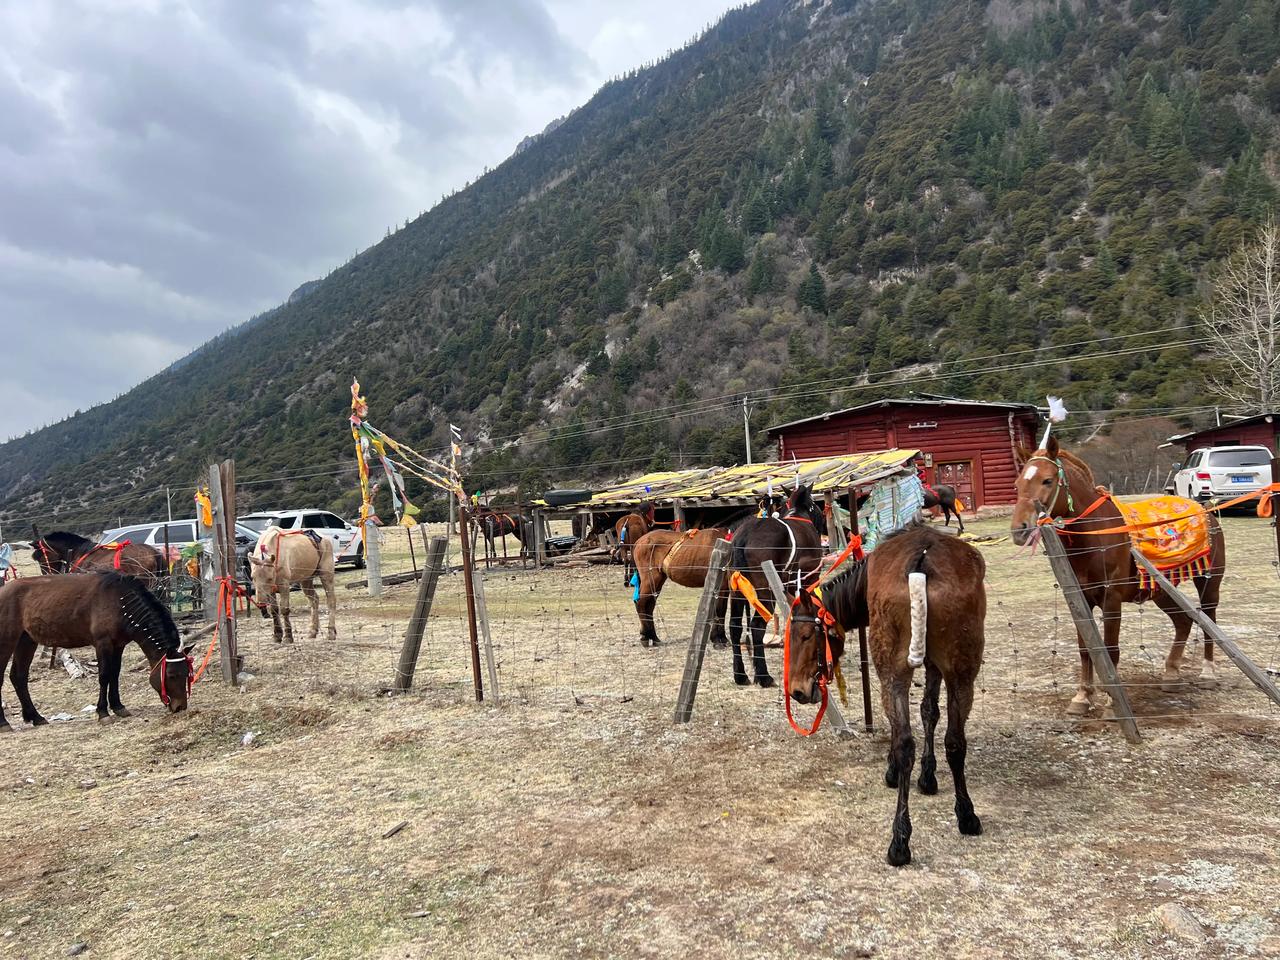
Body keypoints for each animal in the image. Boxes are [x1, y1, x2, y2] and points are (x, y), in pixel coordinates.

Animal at [0, 570, 190, 727]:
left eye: (187, 673)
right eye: (171, 675)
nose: (180, 706)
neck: (120, 602)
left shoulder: (118, 645)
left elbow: (115, 674)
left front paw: (118, 706)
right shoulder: (102, 644)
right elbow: (104, 676)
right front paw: (103, 712)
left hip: (26, 641)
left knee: (19, 677)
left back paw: (35, 717)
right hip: (7, 641)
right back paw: (4, 723)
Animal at [727, 488, 824, 691]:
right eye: (815, 504)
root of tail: (744, 536)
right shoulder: (809, 580)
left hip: (737, 592)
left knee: (735, 627)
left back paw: (740, 675)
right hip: (766, 593)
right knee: (756, 627)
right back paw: (763, 676)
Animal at [788, 522, 988, 870]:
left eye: (805, 635)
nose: (797, 691)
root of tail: (922, 562)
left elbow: (916, 719)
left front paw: (904, 773)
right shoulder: (935, 663)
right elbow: (930, 711)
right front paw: (928, 776)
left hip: (893, 670)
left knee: (904, 741)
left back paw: (899, 840)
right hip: (962, 671)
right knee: (954, 741)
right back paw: (966, 816)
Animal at [1008, 435, 1228, 716]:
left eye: (1047, 480)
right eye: (1017, 483)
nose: (1019, 530)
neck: (1095, 534)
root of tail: (1204, 508)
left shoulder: (1111, 600)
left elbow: (1110, 650)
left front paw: (1112, 703)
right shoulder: (1080, 601)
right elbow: (1086, 649)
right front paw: (1082, 697)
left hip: (1208, 582)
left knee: (1209, 620)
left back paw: (1208, 673)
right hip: (1161, 590)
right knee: (1183, 622)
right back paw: (1171, 674)